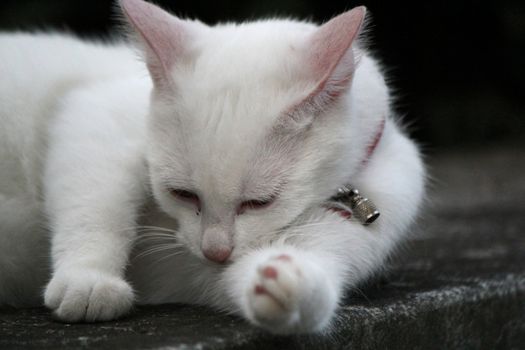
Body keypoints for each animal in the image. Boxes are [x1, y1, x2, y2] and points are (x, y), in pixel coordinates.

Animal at [0, 0, 424, 334]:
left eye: (259, 203)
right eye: (182, 194)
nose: (215, 251)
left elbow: (293, 270)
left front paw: (287, 283)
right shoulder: (98, 117)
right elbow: (97, 211)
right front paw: (88, 281)